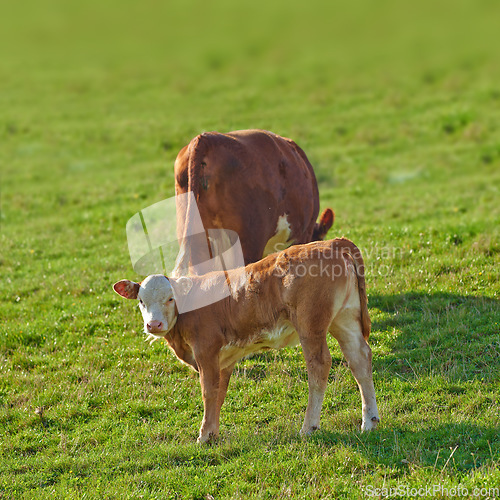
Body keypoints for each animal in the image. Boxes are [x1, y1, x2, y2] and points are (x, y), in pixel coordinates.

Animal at [113, 238, 378, 442]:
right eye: (141, 301)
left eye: (170, 298)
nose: (153, 325)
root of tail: (331, 243)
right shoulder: (224, 359)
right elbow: (219, 394)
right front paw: (213, 433)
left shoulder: (205, 351)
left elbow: (208, 392)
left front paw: (203, 436)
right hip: (344, 319)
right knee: (360, 360)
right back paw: (369, 422)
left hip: (310, 325)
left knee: (319, 366)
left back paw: (308, 427)